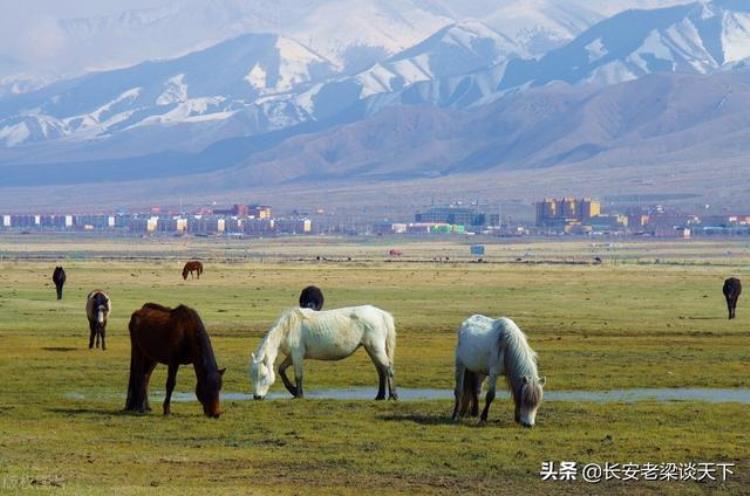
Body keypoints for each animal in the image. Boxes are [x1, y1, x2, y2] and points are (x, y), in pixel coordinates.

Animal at [251, 304, 400, 402]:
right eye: (252, 377)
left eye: (263, 376)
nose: (257, 397)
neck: (288, 327)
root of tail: (381, 314)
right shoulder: (291, 356)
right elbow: (281, 369)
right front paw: (293, 390)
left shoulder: (297, 355)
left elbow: (298, 376)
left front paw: (298, 394)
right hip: (371, 349)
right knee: (381, 370)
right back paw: (379, 396)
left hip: (375, 348)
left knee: (388, 368)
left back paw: (392, 396)